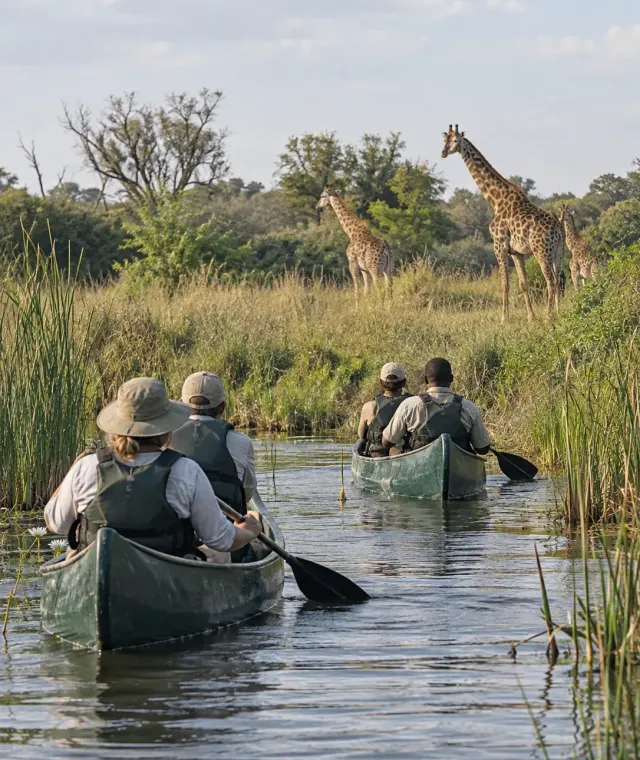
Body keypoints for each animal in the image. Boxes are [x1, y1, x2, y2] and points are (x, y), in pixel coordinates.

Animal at [441, 125, 564, 322]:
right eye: (444, 140)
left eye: (455, 141)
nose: (443, 152)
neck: (496, 200)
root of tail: (558, 228)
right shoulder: (517, 252)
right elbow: (522, 283)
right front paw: (531, 317)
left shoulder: (499, 245)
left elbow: (504, 283)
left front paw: (504, 318)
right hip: (559, 251)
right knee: (558, 279)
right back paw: (558, 313)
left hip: (542, 251)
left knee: (550, 281)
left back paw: (548, 317)